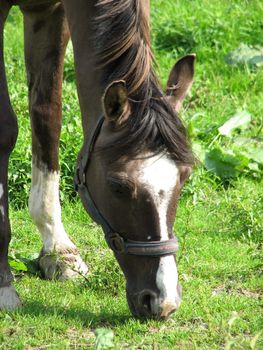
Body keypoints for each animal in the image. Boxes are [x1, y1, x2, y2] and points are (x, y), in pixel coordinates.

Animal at [0, 0, 196, 320]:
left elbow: (47, 116)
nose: (161, 300)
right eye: (118, 185)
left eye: (185, 176)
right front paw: (4, 283)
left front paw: (58, 251)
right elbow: (6, 129)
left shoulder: (50, 12)